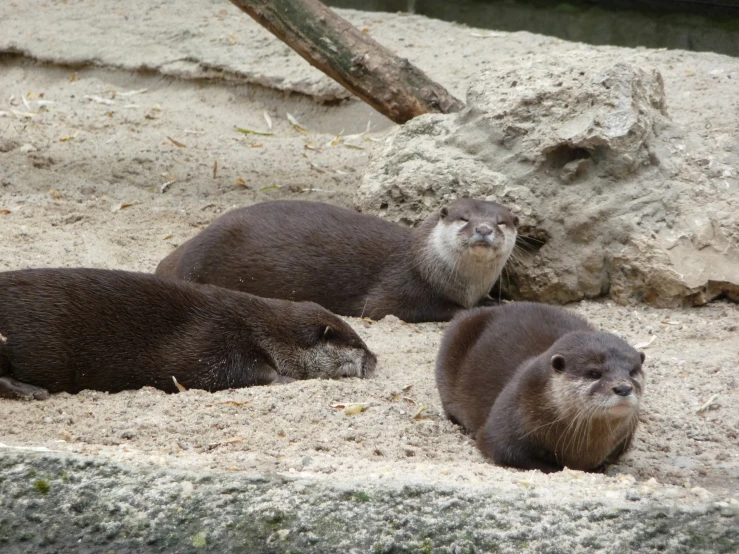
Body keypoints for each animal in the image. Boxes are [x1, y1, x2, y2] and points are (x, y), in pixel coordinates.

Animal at [0, 266, 378, 398]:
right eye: (357, 341)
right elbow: (221, 371)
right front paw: (287, 378)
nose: (375, 359)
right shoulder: (213, 337)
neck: (261, 329)